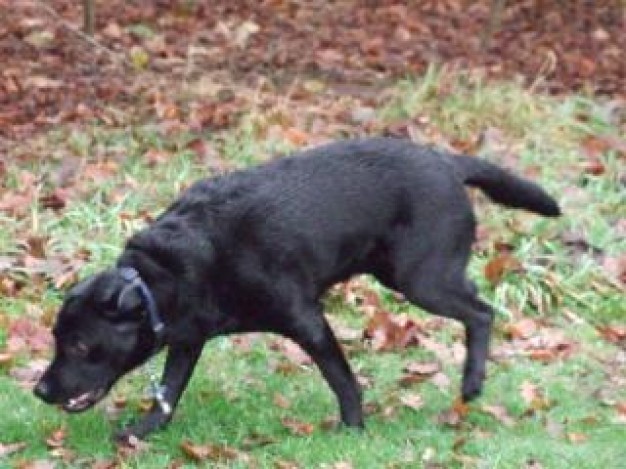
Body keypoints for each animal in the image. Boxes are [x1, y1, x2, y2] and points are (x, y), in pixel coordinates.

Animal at [34, 137, 560, 436]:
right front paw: (143, 431)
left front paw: (353, 429)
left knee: (483, 313)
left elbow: (342, 378)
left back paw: (471, 383)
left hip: (421, 279)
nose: (40, 390)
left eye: (80, 345)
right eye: (56, 340)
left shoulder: (307, 320)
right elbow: (169, 389)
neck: (160, 277)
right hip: (403, 274)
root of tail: (447, 162)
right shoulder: (187, 339)